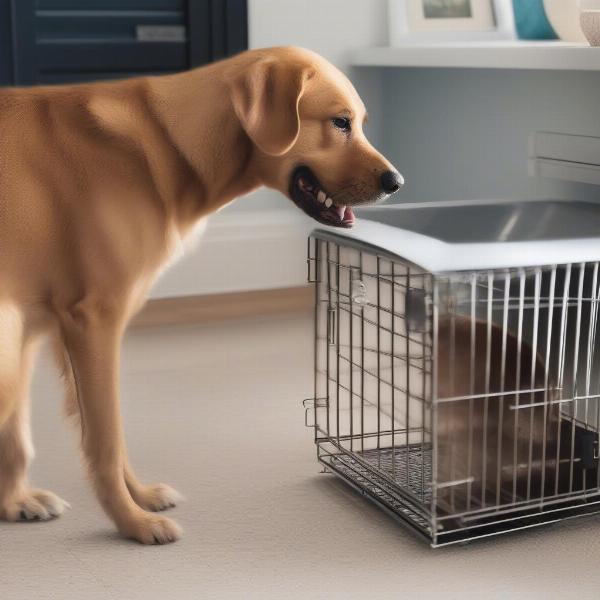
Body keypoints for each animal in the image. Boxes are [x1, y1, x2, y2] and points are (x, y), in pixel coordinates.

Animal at [0, 47, 404, 544]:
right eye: (340, 122)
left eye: (360, 122)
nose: (397, 182)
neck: (166, 144)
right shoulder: (92, 321)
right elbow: (106, 439)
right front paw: (133, 523)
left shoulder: (40, 325)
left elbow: (46, 437)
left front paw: (134, 499)